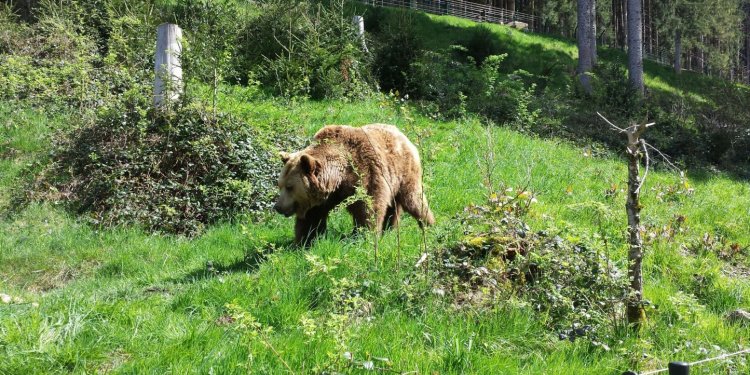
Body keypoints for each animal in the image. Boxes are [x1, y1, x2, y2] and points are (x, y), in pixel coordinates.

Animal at [274, 125, 434, 245]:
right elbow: (312, 218)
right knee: (394, 207)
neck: (340, 177)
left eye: (290, 187)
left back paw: (429, 225)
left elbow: (369, 209)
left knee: (414, 200)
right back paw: (389, 228)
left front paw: (364, 237)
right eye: (280, 185)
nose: (277, 207)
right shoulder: (321, 198)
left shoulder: (366, 174)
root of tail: (400, 133)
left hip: (404, 172)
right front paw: (304, 240)